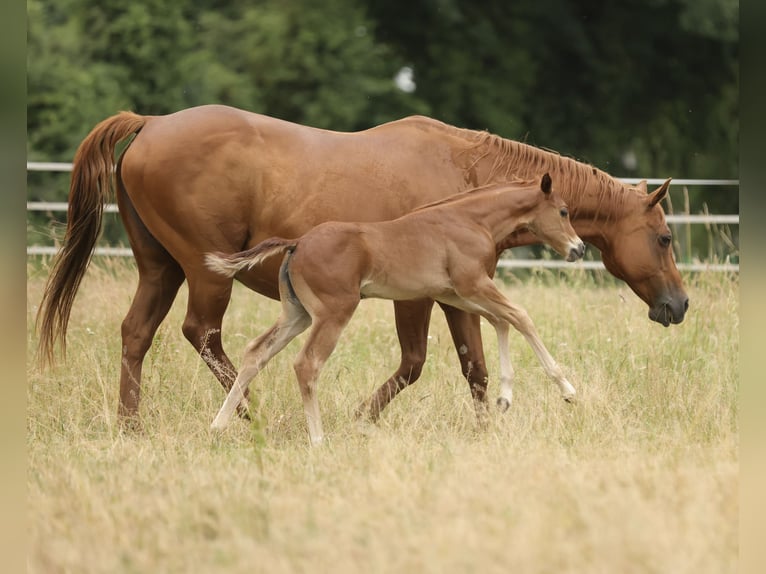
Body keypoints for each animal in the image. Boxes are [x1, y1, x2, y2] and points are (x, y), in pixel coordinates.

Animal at [206, 174, 585, 444]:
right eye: (564, 211)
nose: (578, 249)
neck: (470, 220)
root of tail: (297, 243)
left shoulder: (453, 292)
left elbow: (500, 321)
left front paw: (505, 399)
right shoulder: (473, 284)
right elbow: (520, 316)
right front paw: (568, 391)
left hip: (296, 314)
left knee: (256, 352)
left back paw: (218, 426)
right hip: (334, 312)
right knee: (307, 364)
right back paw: (318, 438)